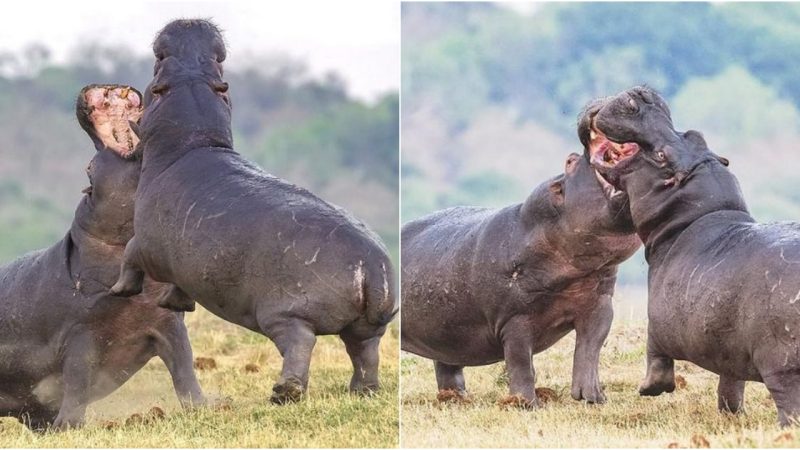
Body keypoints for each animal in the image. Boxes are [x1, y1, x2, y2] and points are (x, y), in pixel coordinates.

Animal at [0, 85, 205, 432]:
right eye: (89, 170)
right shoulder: (81, 334)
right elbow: (77, 380)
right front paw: (68, 427)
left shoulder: (168, 323)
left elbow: (184, 369)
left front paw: (209, 407)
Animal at [109, 19, 396, 402]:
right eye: (219, 61)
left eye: (158, 64)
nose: (190, 24)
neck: (193, 136)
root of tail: (373, 267)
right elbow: (179, 285)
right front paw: (174, 303)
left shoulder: (147, 243)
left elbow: (130, 254)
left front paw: (119, 291)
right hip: (367, 326)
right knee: (365, 352)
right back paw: (363, 391)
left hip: (285, 315)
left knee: (300, 345)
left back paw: (284, 393)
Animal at [404, 152, 640, 408]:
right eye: (571, 161)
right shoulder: (515, 320)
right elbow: (521, 364)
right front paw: (526, 404)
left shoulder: (600, 305)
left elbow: (589, 349)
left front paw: (594, 398)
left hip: (447, 332)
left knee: (447, 366)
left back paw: (455, 398)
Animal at [584, 84, 800, 426]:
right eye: (696, 135)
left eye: (661, 156)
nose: (640, 95)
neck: (694, 213)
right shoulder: (729, 348)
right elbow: (730, 383)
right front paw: (731, 414)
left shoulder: (657, 321)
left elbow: (655, 355)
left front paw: (648, 389)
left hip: (782, 367)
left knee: (789, 404)